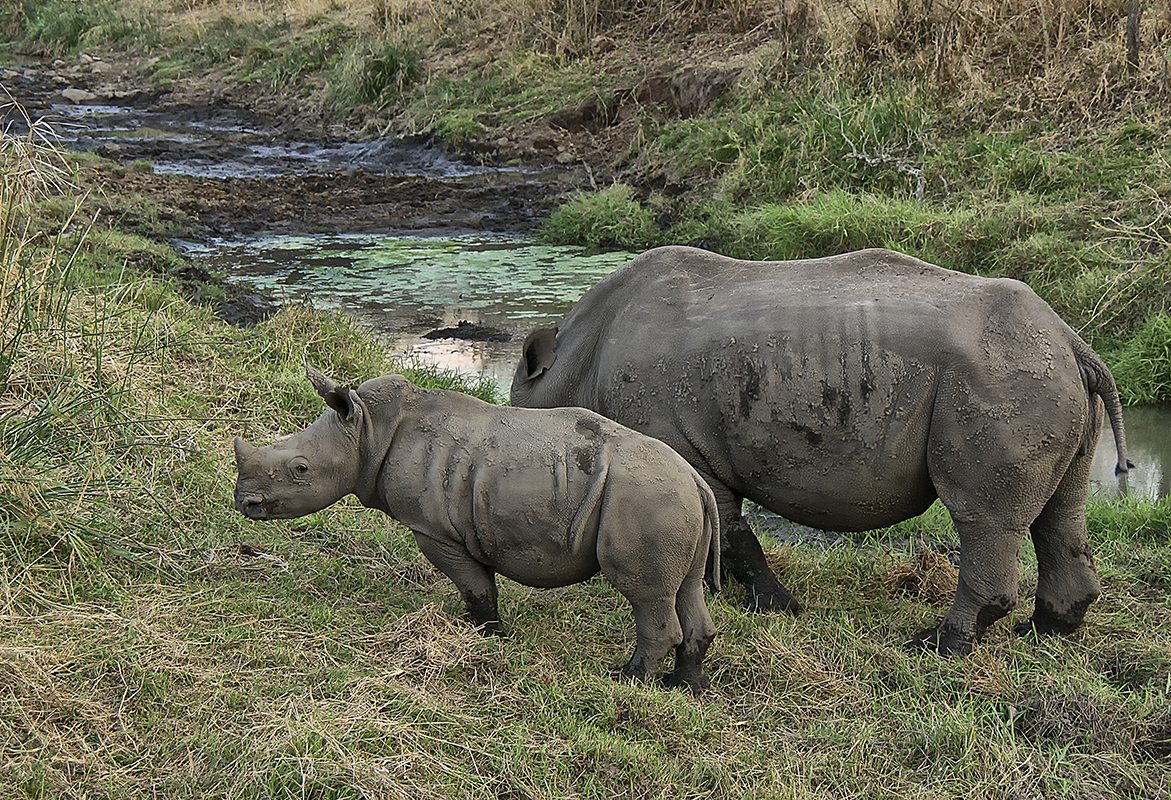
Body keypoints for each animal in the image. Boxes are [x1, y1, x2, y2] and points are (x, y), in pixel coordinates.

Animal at [233, 365, 716, 693]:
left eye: (300, 469)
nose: (244, 502)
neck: (368, 430)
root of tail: (696, 479)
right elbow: (482, 583)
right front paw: (488, 635)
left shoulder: (433, 529)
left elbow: (474, 585)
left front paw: (488, 635)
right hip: (673, 501)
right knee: (687, 586)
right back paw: (683, 687)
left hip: (646, 497)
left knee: (644, 593)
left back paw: (628, 680)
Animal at [512, 245, 1133, 655]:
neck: (572, 365)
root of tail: (1073, 342)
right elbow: (727, 531)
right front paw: (764, 604)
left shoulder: (678, 446)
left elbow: (731, 535)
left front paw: (778, 608)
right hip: (1040, 375)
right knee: (1062, 509)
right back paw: (1045, 633)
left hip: (998, 376)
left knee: (983, 518)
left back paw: (937, 646)